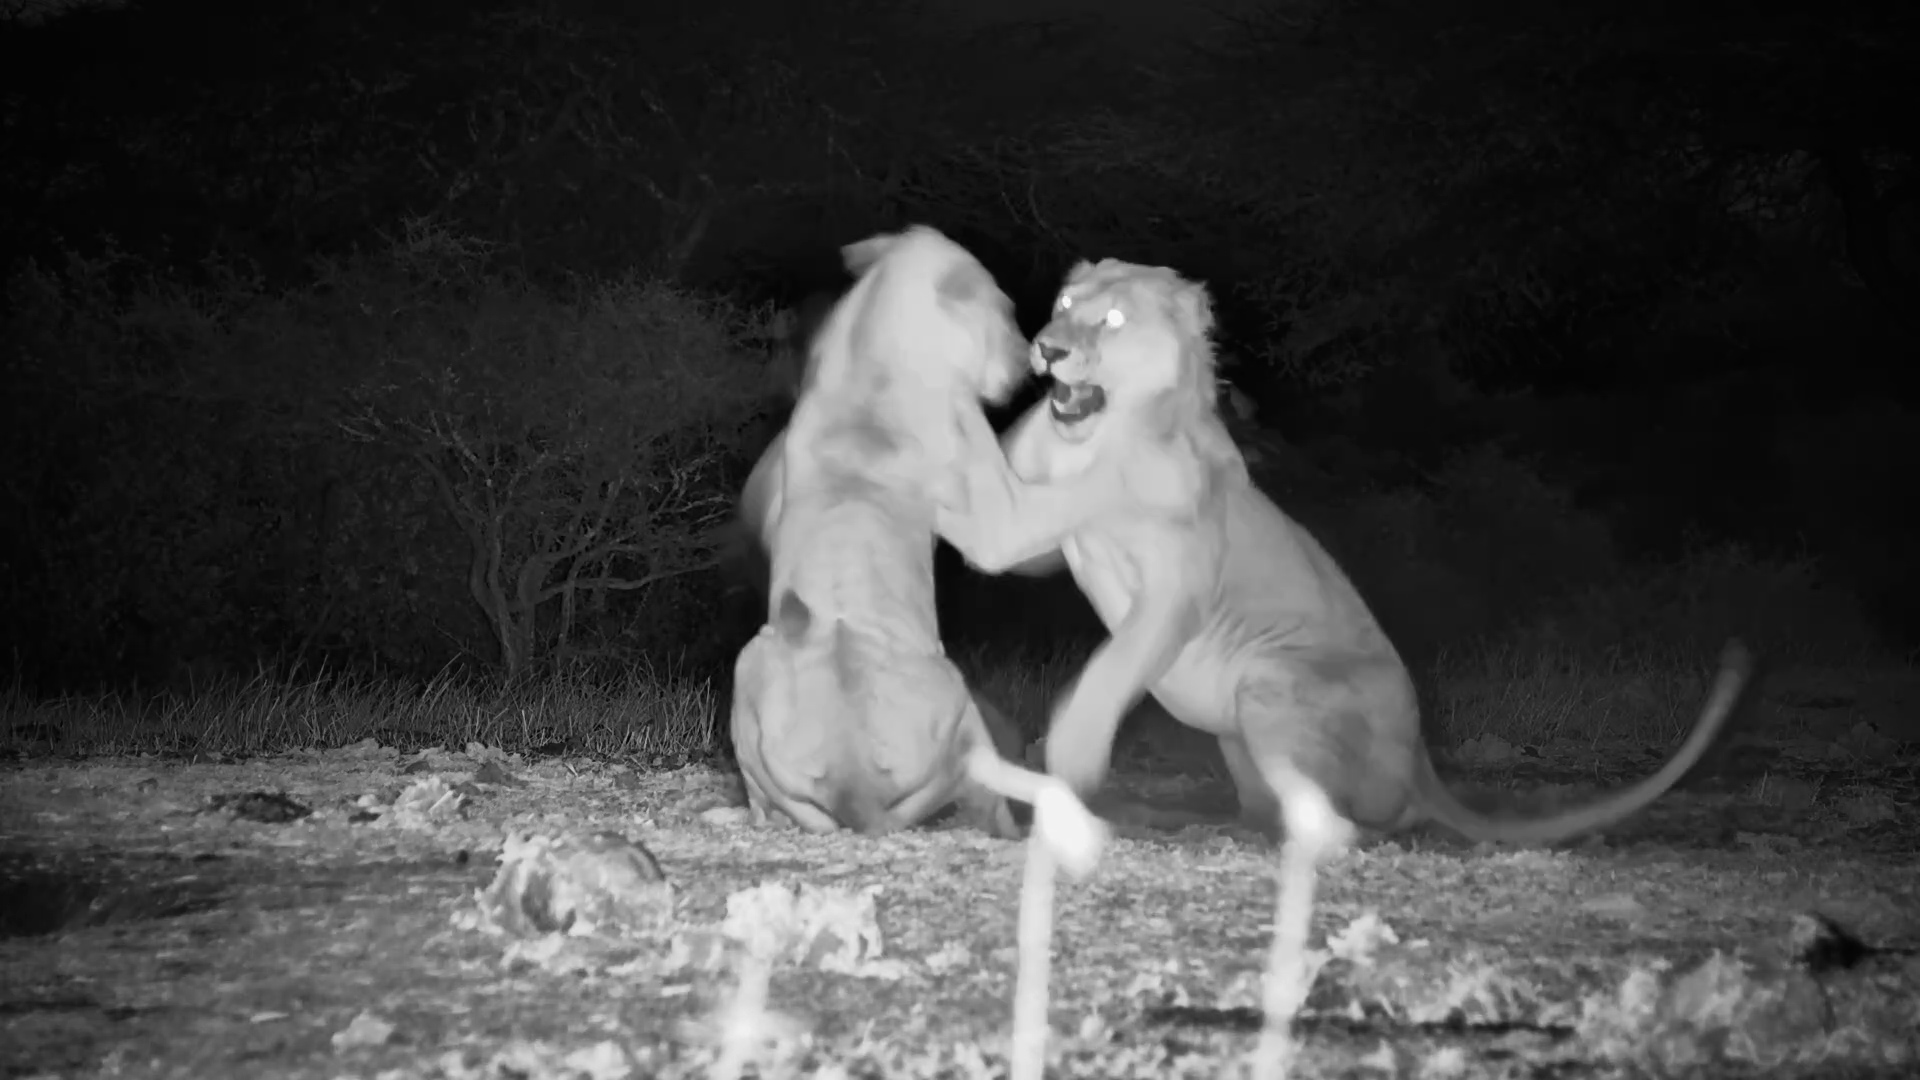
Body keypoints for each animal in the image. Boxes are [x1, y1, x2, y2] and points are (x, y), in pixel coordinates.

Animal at [728, 224, 1040, 838]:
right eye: (1005, 312)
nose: (1029, 364)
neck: (869, 353)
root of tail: (855, 789)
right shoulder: (1000, 523)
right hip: (963, 704)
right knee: (992, 808)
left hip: (748, 667)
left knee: (759, 802)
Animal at [934, 257, 1757, 850]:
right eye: (1064, 303)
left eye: (1111, 317)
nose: (1048, 349)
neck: (1097, 438)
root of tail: (1424, 764)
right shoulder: (1030, 539)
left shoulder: (1174, 597)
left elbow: (1103, 680)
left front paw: (1069, 763)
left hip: (1272, 682)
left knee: (1359, 822)